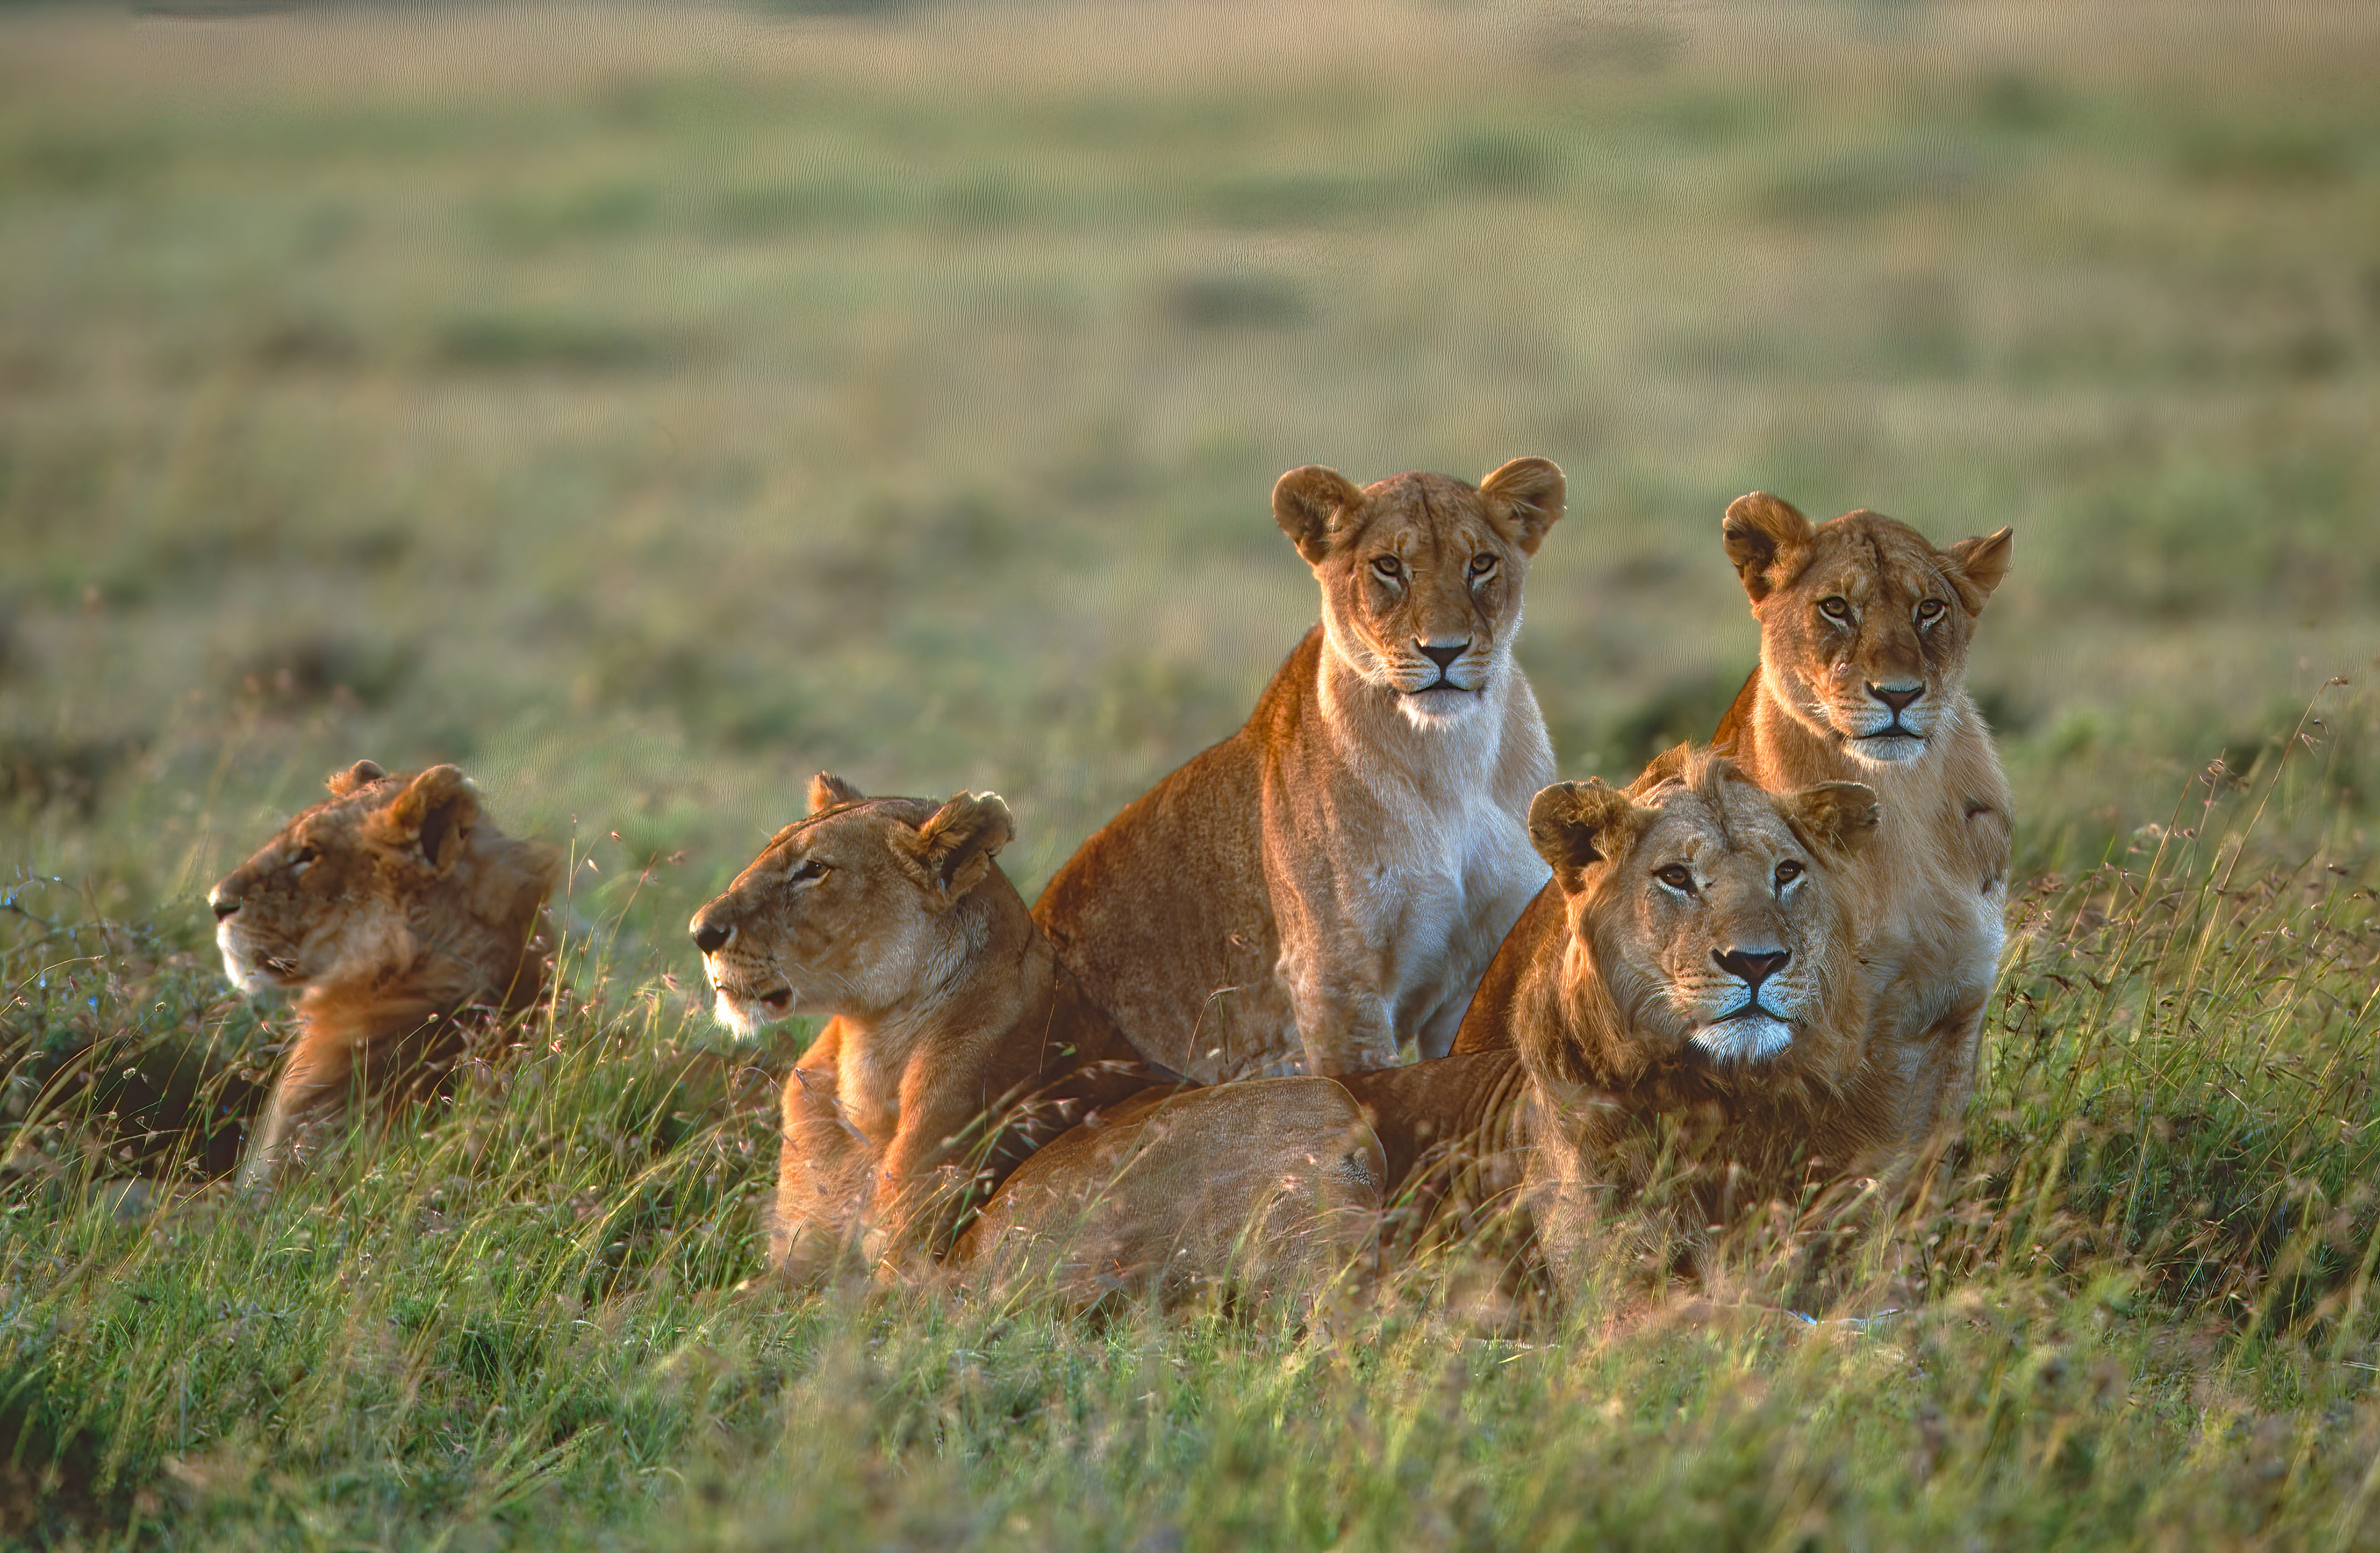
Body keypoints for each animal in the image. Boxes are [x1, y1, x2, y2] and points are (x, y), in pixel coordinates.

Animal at [1034, 457, 1567, 1083]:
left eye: (1481, 563)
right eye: (1388, 567)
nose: (1444, 650)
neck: (1449, 760)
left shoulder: (1484, 969)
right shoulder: (1333, 976)